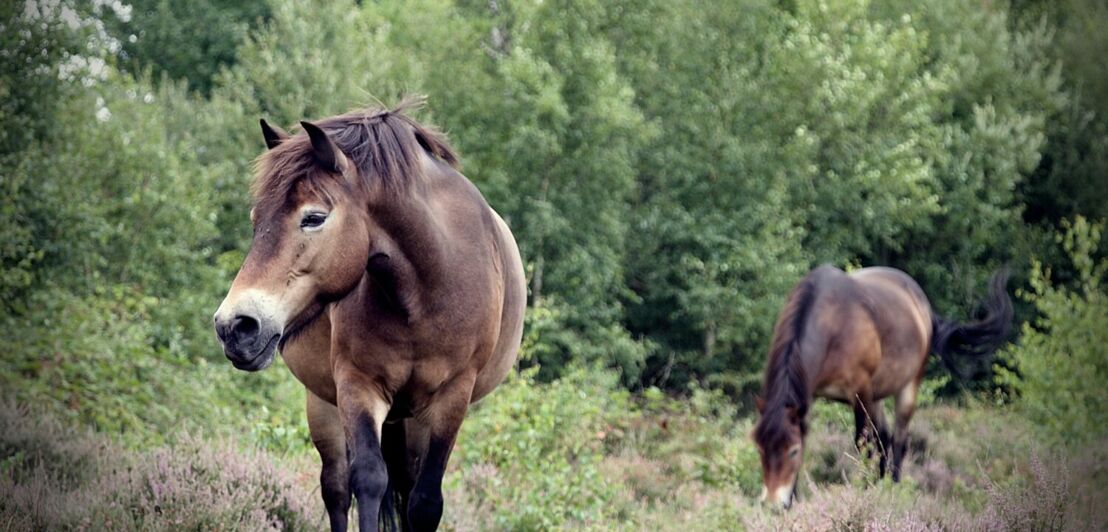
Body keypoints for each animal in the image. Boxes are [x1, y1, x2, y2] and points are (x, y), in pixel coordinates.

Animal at [217, 97, 531, 529]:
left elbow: (425, 501)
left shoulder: (453, 396)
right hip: (323, 403)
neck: (423, 294)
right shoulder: (357, 385)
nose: (234, 326)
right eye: (255, 220)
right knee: (336, 489)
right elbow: (368, 480)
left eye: (313, 218)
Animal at [749, 264, 1010, 507]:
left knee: (898, 440)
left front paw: (862, 490)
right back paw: (881, 484)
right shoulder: (809, 396)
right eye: (760, 448)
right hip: (877, 397)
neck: (833, 323)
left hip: (905, 388)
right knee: (884, 437)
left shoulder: (860, 393)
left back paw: (892, 488)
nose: (773, 504)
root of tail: (924, 307)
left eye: (792, 451)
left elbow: (862, 444)